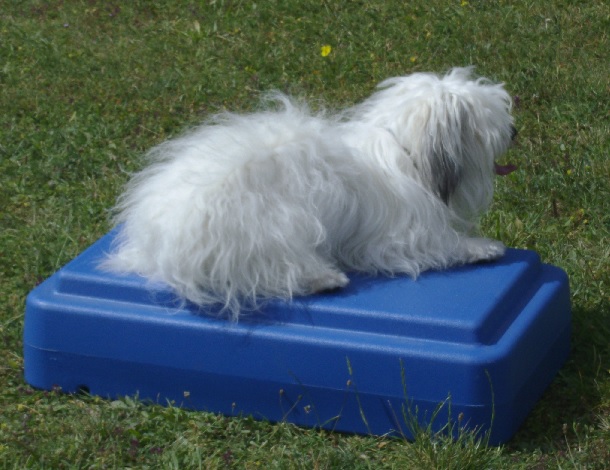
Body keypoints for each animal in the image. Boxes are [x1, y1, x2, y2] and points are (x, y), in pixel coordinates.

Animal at [102, 67, 517, 320]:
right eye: (490, 121)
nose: (514, 132)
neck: (404, 149)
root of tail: (158, 245)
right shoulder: (402, 237)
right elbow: (444, 245)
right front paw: (483, 247)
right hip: (274, 226)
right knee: (273, 272)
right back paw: (324, 278)